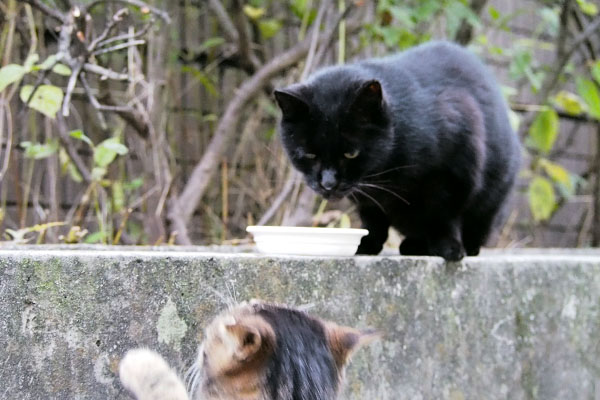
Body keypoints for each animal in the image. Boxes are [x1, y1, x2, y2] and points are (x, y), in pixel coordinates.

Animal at [276, 39, 520, 260]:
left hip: (492, 198)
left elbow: (443, 214)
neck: (391, 168)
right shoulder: (366, 196)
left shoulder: (455, 171)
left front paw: (448, 247)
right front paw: (367, 244)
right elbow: (373, 220)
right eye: (309, 154)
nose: (327, 184)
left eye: (350, 153)